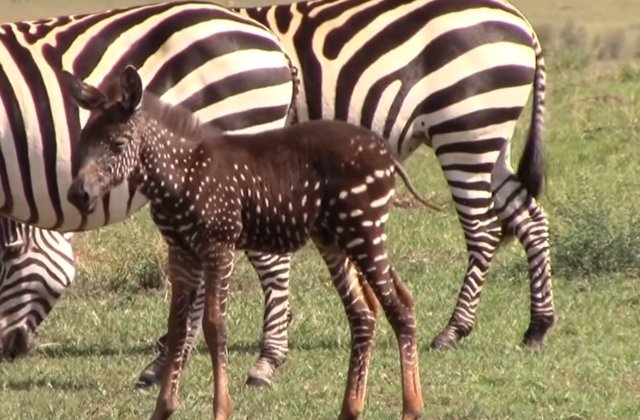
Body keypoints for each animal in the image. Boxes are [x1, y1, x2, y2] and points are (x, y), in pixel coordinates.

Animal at [136, 0, 552, 388]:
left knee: (484, 231)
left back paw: (454, 329)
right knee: (530, 218)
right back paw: (538, 325)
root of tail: (521, 21)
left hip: (466, 129)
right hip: (489, 139)